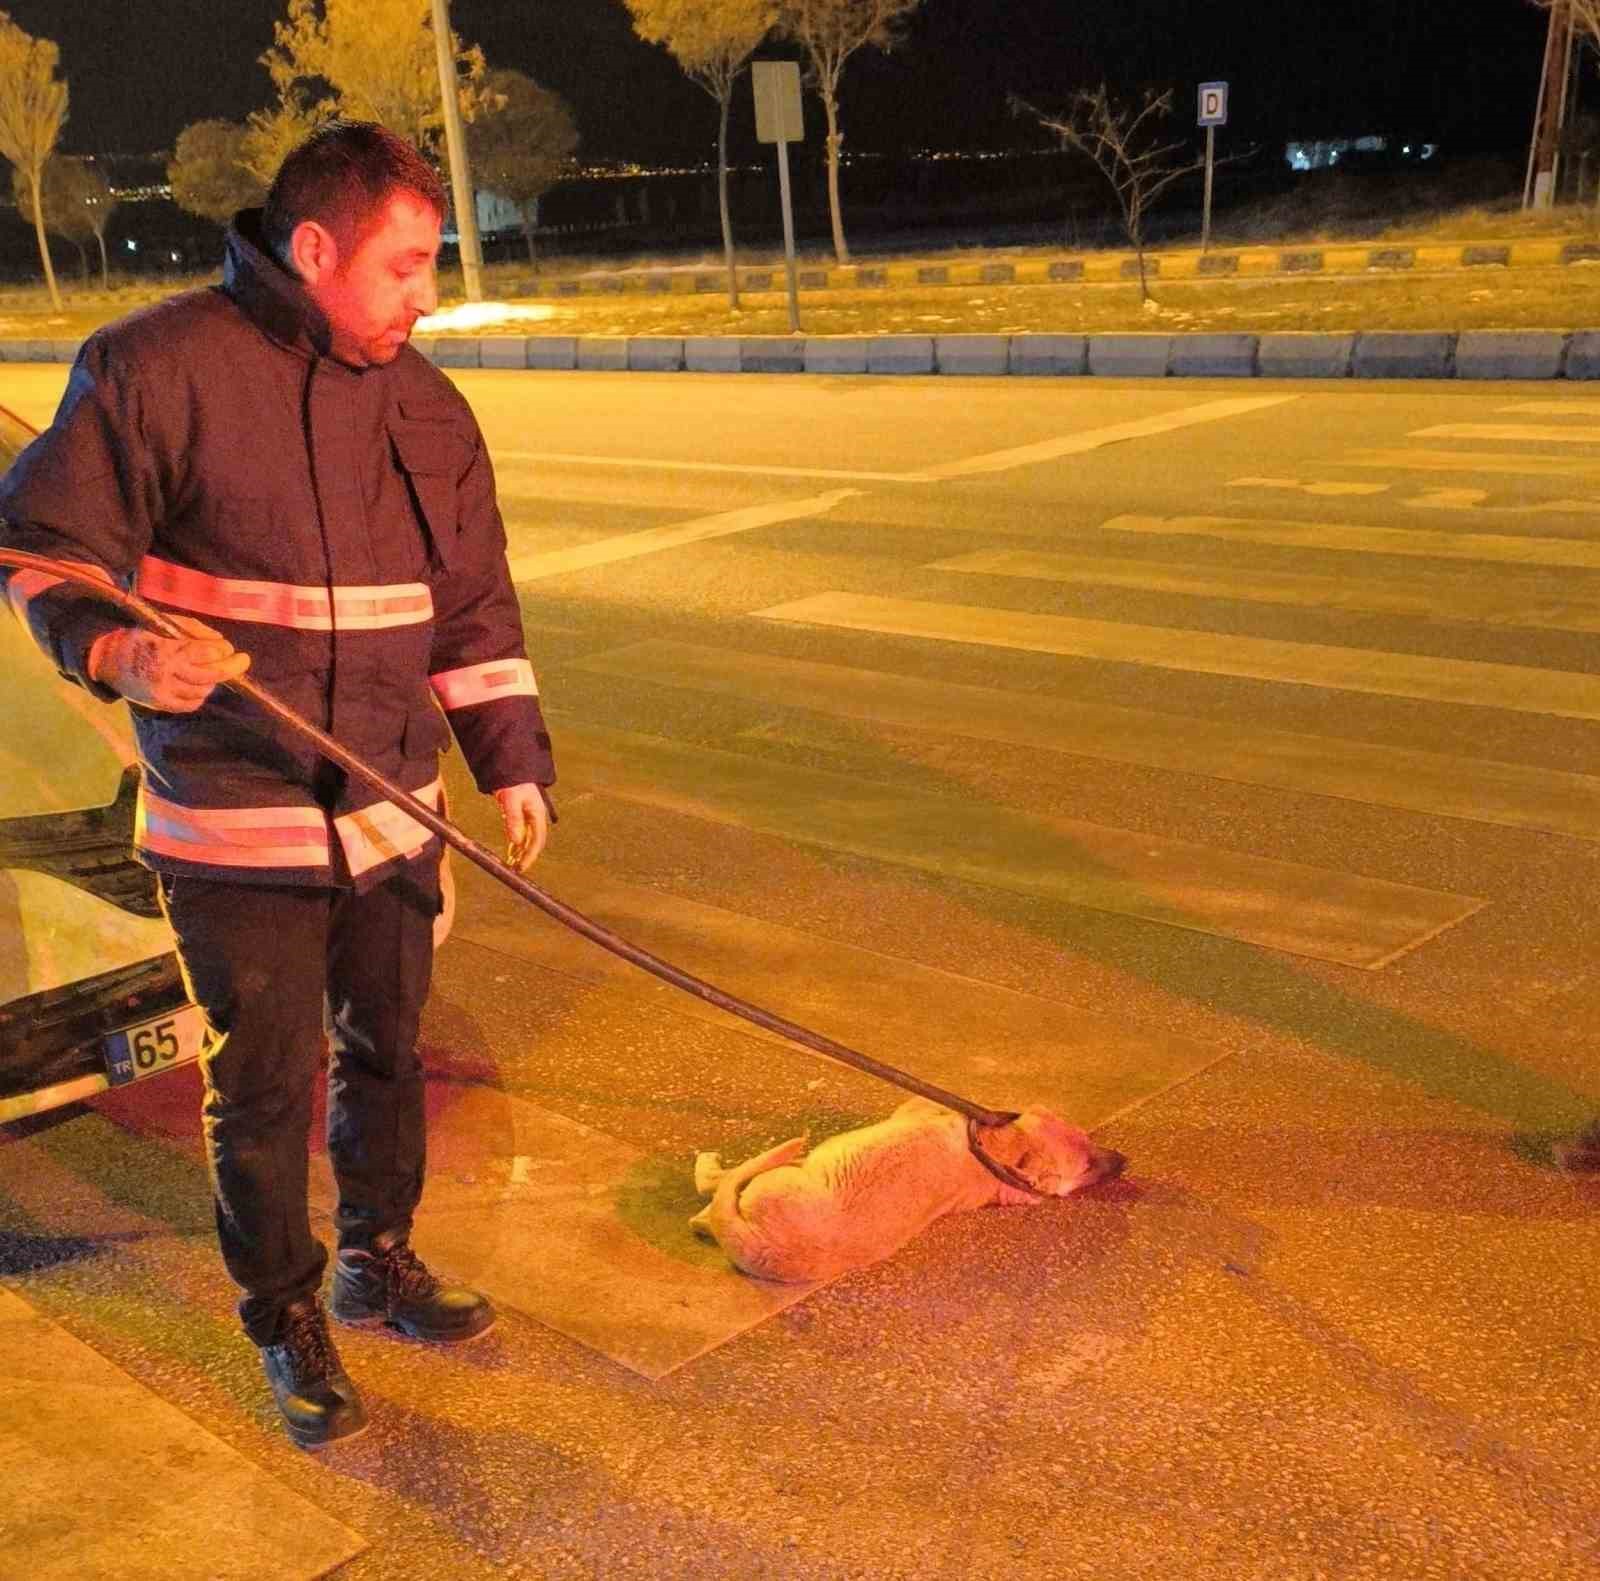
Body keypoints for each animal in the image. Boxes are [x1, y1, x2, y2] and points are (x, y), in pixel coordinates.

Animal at [688, 1100, 1126, 1286]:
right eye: (1087, 1161)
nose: (1125, 1160)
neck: (989, 1153)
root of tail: (756, 1244)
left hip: (781, 1175)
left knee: (717, 1187)